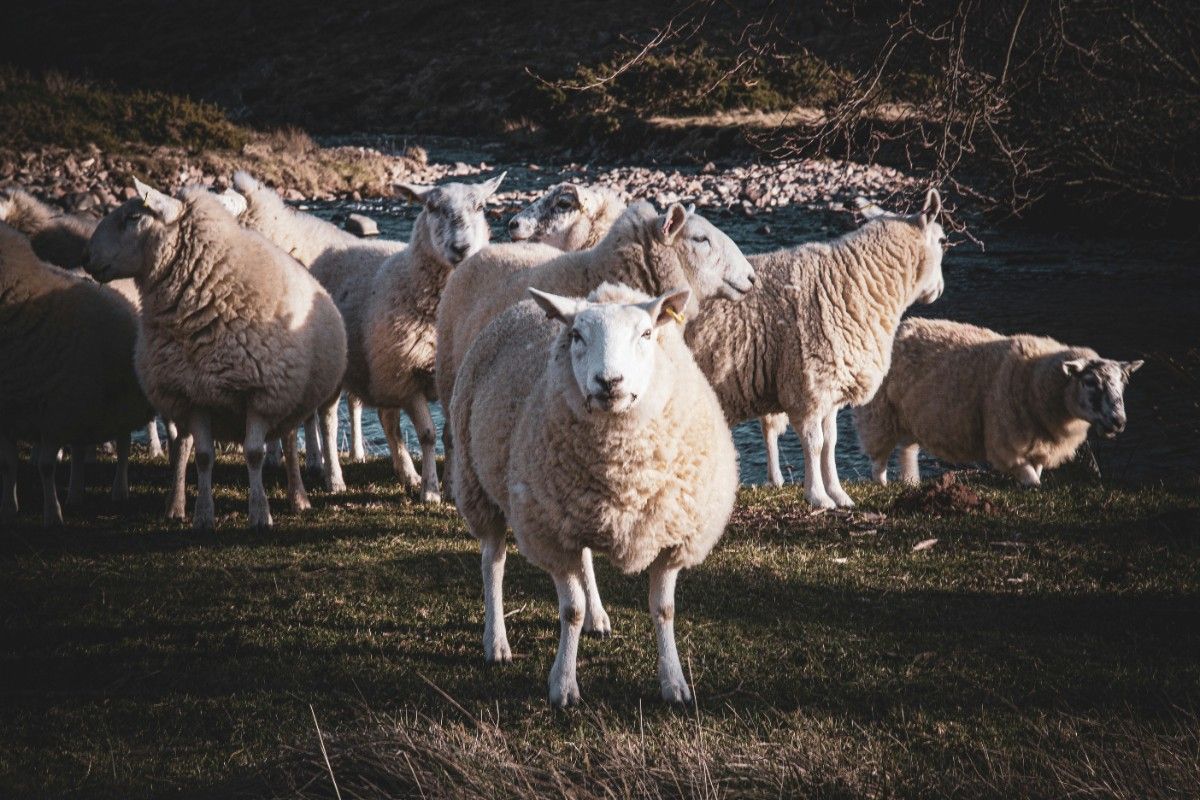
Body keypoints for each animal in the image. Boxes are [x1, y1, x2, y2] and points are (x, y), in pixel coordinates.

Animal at [0, 221, 154, 527]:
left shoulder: (54, 411)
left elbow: (46, 467)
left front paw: (52, 514)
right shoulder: (11, 413)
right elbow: (9, 465)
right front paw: (9, 508)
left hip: (119, 401)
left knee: (123, 444)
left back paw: (119, 490)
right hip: (87, 402)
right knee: (82, 447)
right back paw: (75, 493)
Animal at [83, 181, 348, 532]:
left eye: (134, 217)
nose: (86, 257)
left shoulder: (261, 393)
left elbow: (254, 454)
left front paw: (260, 514)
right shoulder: (194, 395)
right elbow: (203, 457)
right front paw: (203, 515)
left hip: (289, 395)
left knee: (290, 442)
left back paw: (299, 498)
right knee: (182, 445)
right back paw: (175, 505)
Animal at [451, 283, 739, 705]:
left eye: (647, 333)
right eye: (577, 336)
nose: (609, 381)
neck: (621, 475)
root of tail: (520, 306)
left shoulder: (673, 535)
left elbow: (664, 609)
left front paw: (674, 681)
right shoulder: (551, 536)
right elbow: (569, 610)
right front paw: (563, 685)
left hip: (575, 510)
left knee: (584, 557)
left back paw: (597, 616)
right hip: (479, 487)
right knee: (493, 563)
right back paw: (497, 641)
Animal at [686, 190, 945, 510]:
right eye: (943, 240)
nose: (939, 290)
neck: (856, 281)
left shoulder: (831, 386)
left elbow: (830, 443)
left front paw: (838, 493)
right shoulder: (807, 383)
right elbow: (814, 442)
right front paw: (818, 496)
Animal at [854, 319, 1142, 489]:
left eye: (1122, 383)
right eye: (1090, 382)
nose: (1119, 422)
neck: (1034, 376)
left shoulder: (1037, 443)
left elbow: (1036, 473)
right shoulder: (1007, 444)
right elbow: (1033, 480)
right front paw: (1031, 488)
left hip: (911, 417)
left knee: (906, 449)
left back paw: (911, 483)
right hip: (879, 414)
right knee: (878, 460)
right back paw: (883, 486)